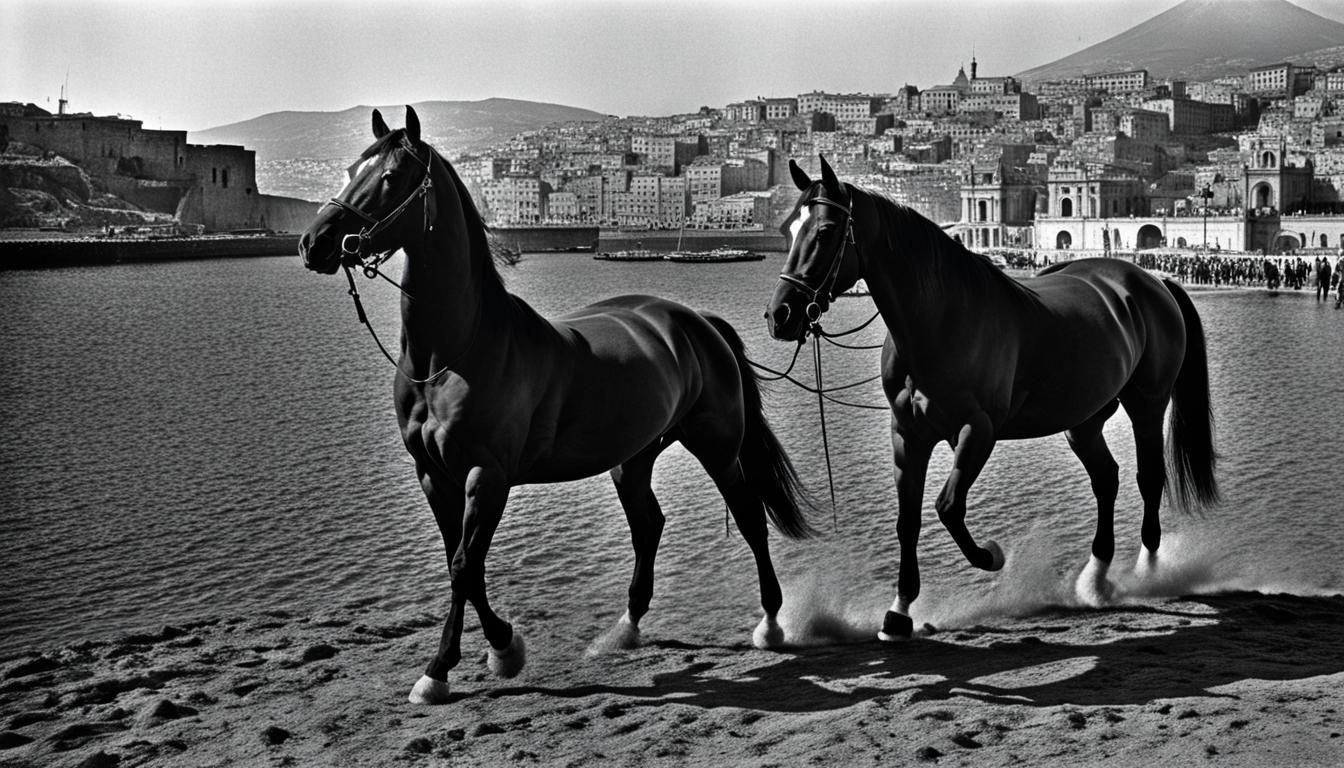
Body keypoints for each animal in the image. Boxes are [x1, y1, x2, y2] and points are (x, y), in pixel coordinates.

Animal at [298, 107, 814, 704]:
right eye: (348, 170)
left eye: (389, 177)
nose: (313, 241)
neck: (451, 354)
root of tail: (697, 321)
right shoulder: (432, 473)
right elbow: (461, 563)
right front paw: (500, 647)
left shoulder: (487, 475)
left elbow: (464, 565)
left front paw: (447, 666)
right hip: (634, 455)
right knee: (649, 525)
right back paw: (626, 627)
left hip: (717, 445)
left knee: (750, 518)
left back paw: (771, 623)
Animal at [765, 156, 1219, 641]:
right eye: (787, 228)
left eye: (825, 231)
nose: (780, 314)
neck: (939, 320)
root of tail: (1150, 279)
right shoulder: (907, 433)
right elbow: (908, 521)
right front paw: (899, 610)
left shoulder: (978, 429)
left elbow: (948, 506)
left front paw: (991, 555)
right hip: (1085, 418)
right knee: (1106, 478)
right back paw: (1096, 578)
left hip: (1147, 404)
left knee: (1148, 477)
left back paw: (1150, 572)